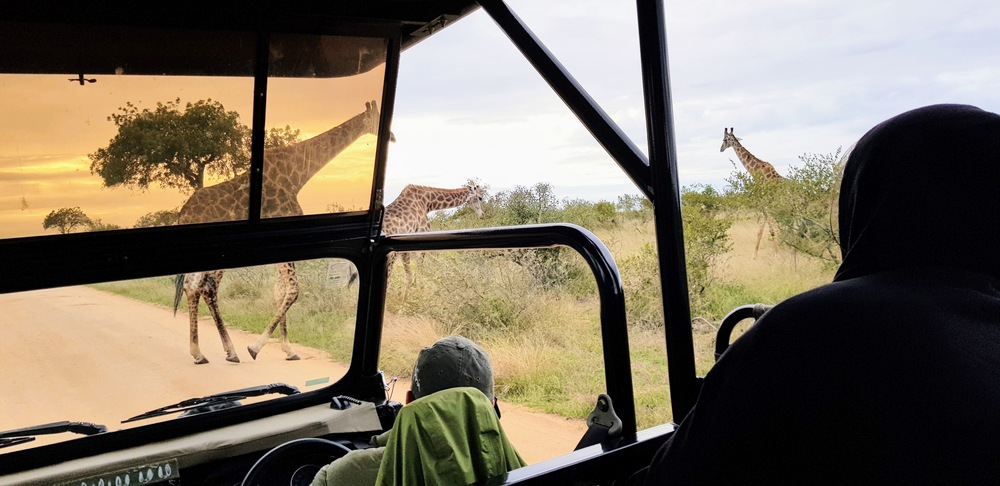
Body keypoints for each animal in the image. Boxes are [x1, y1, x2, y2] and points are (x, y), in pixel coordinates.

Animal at [175, 99, 382, 364]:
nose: (393, 136)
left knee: (193, 287)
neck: (297, 174)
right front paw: (255, 347)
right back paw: (229, 351)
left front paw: (288, 348)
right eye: (376, 119)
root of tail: (183, 213)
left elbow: (280, 292)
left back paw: (199, 353)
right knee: (208, 288)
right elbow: (292, 291)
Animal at [720, 128, 788, 258]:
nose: (720, 148)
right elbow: (762, 230)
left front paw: (776, 254)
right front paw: (755, 254)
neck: (757, 172)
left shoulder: (765, 203)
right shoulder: (764, 204)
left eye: (725, 139)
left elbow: (768, 229)